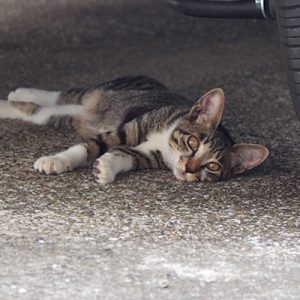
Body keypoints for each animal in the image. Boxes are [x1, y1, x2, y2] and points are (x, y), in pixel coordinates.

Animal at [0, 75, 268, 184]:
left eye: (213, 166)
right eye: (193, 143)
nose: (189, 169)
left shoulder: (149, 156)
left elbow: (125, 155)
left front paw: (106, 167)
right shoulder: (129, 129)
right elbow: (91, 146)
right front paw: (55, 161)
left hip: (68, 117)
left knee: (42, 112)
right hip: (98, 92)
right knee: (60, 95)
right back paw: (18, 94)